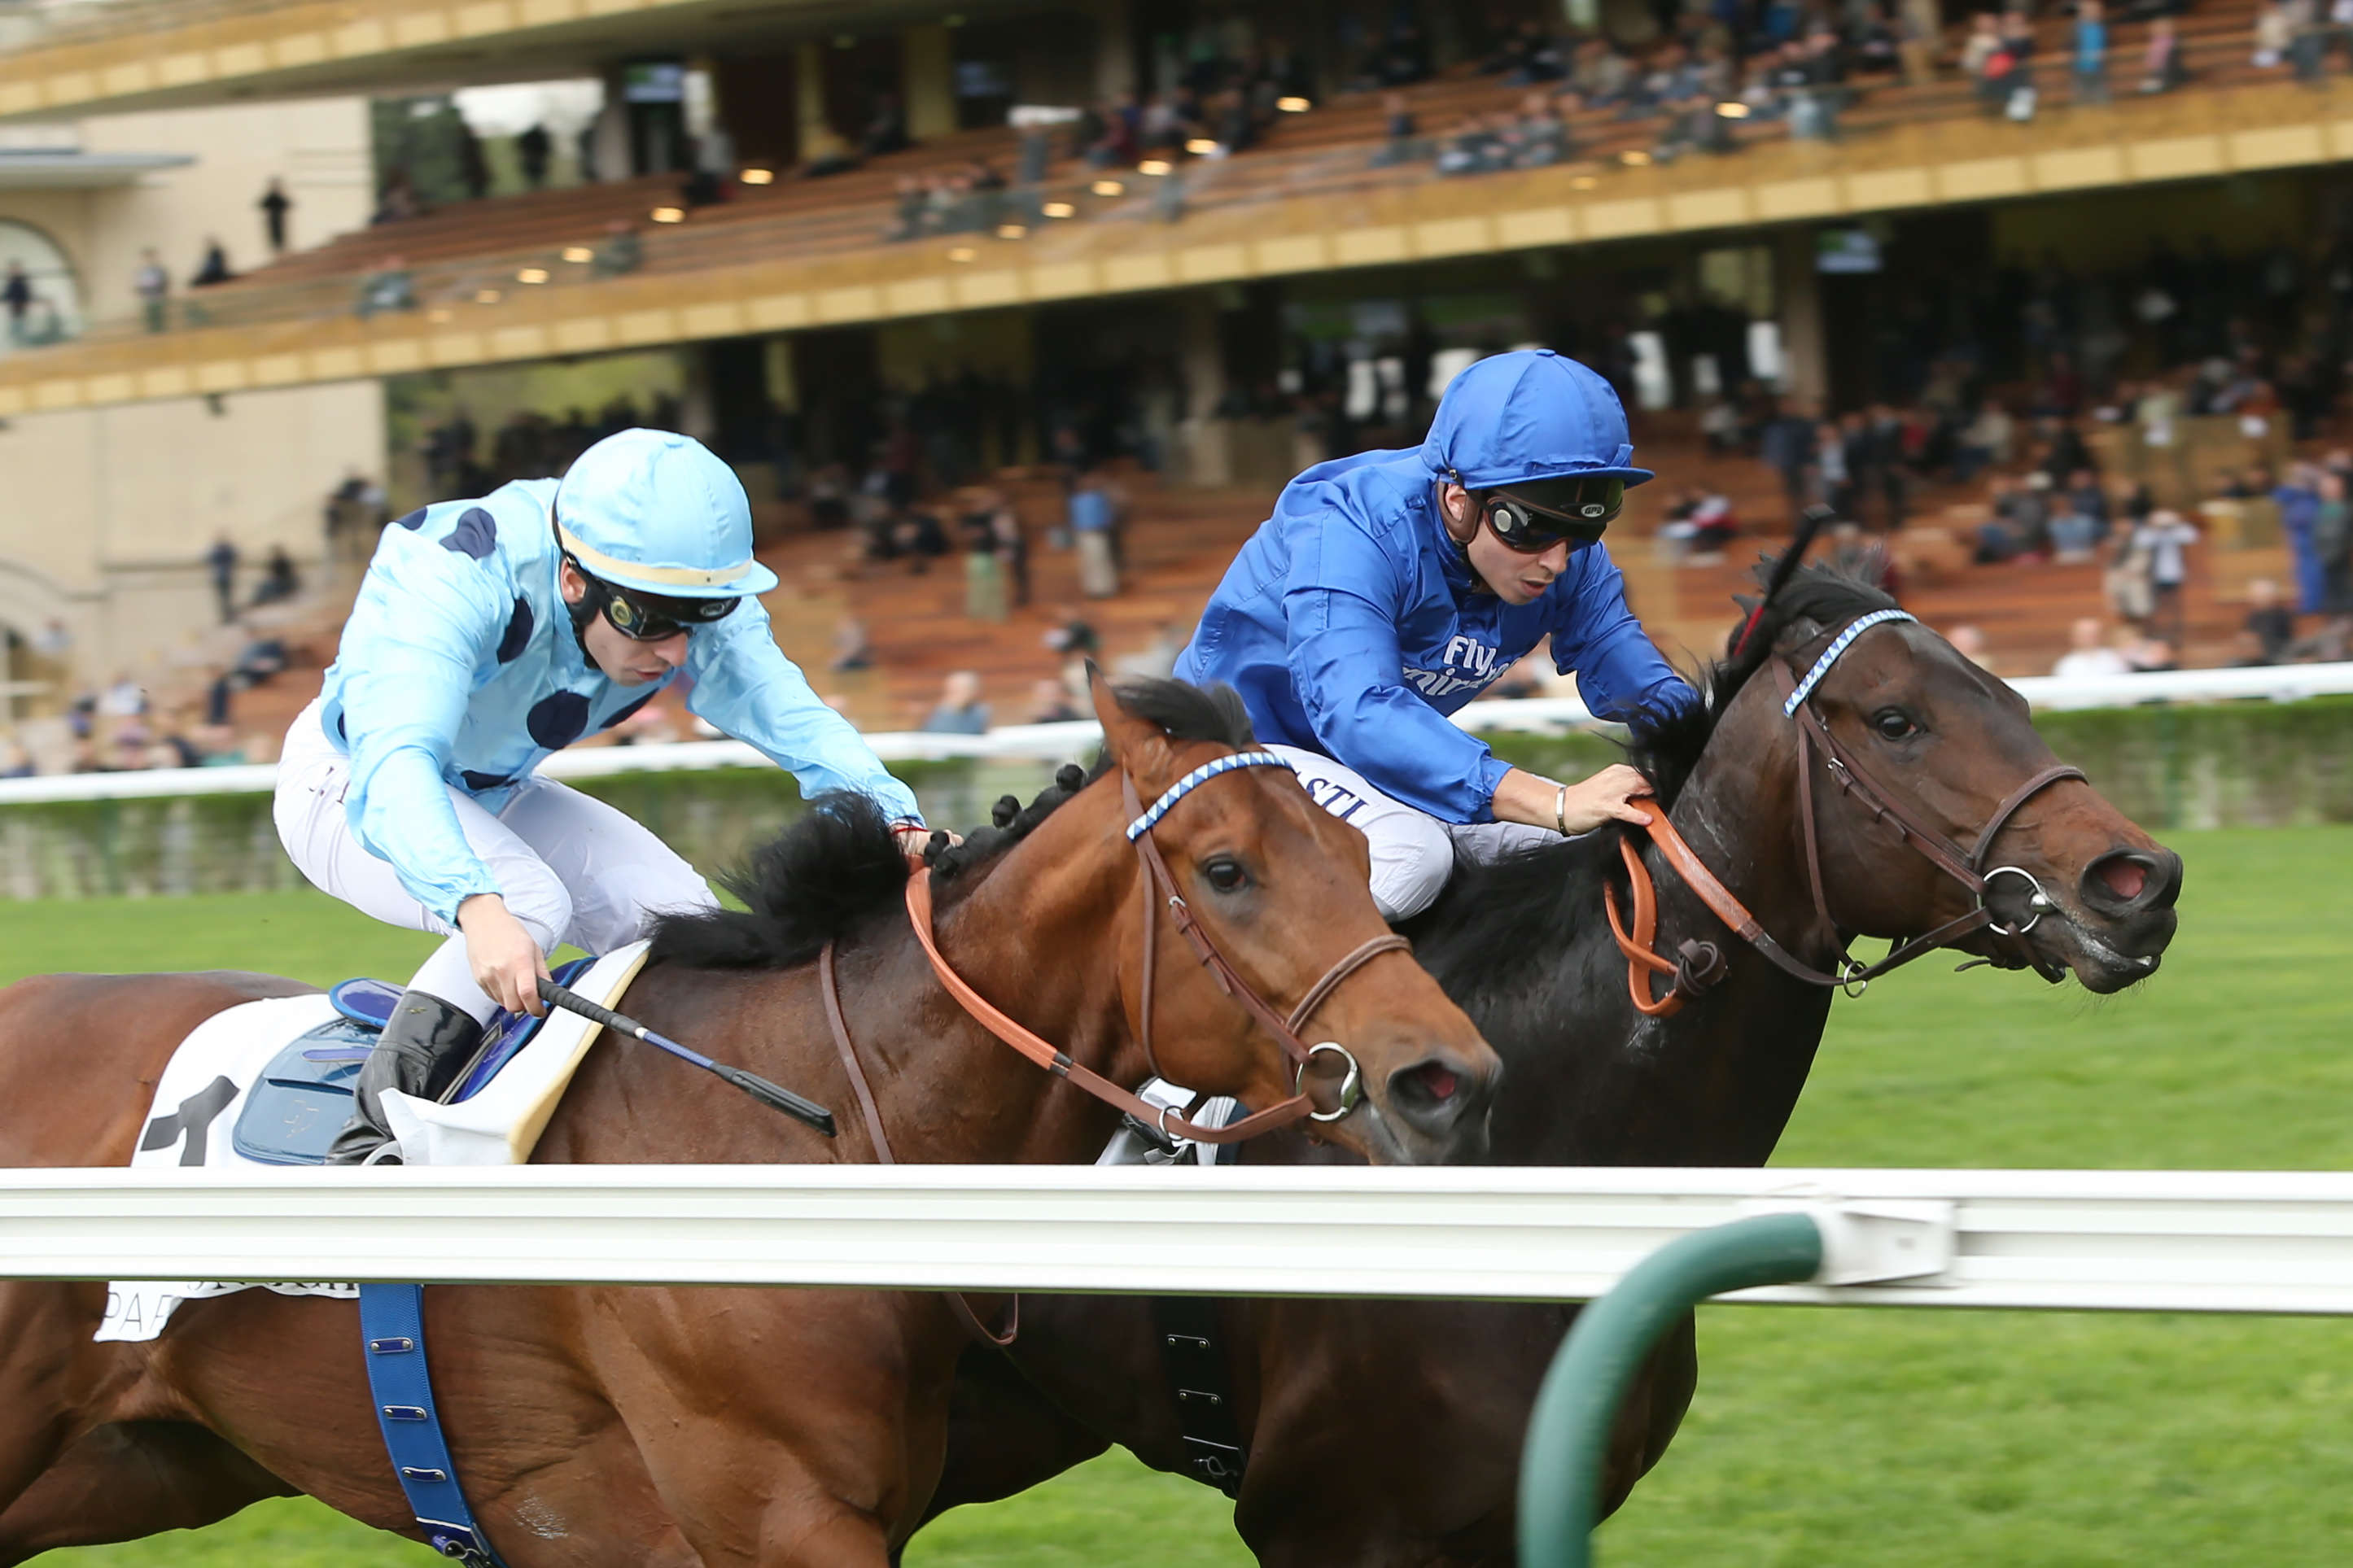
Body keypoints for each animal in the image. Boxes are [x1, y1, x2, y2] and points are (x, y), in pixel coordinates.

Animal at [0, 677, 1496, 1568]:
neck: (809, 1131)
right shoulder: (781, 1512)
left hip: (134, 1461)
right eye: (1228, 869)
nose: (1445, 1076)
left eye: (1360, 850)